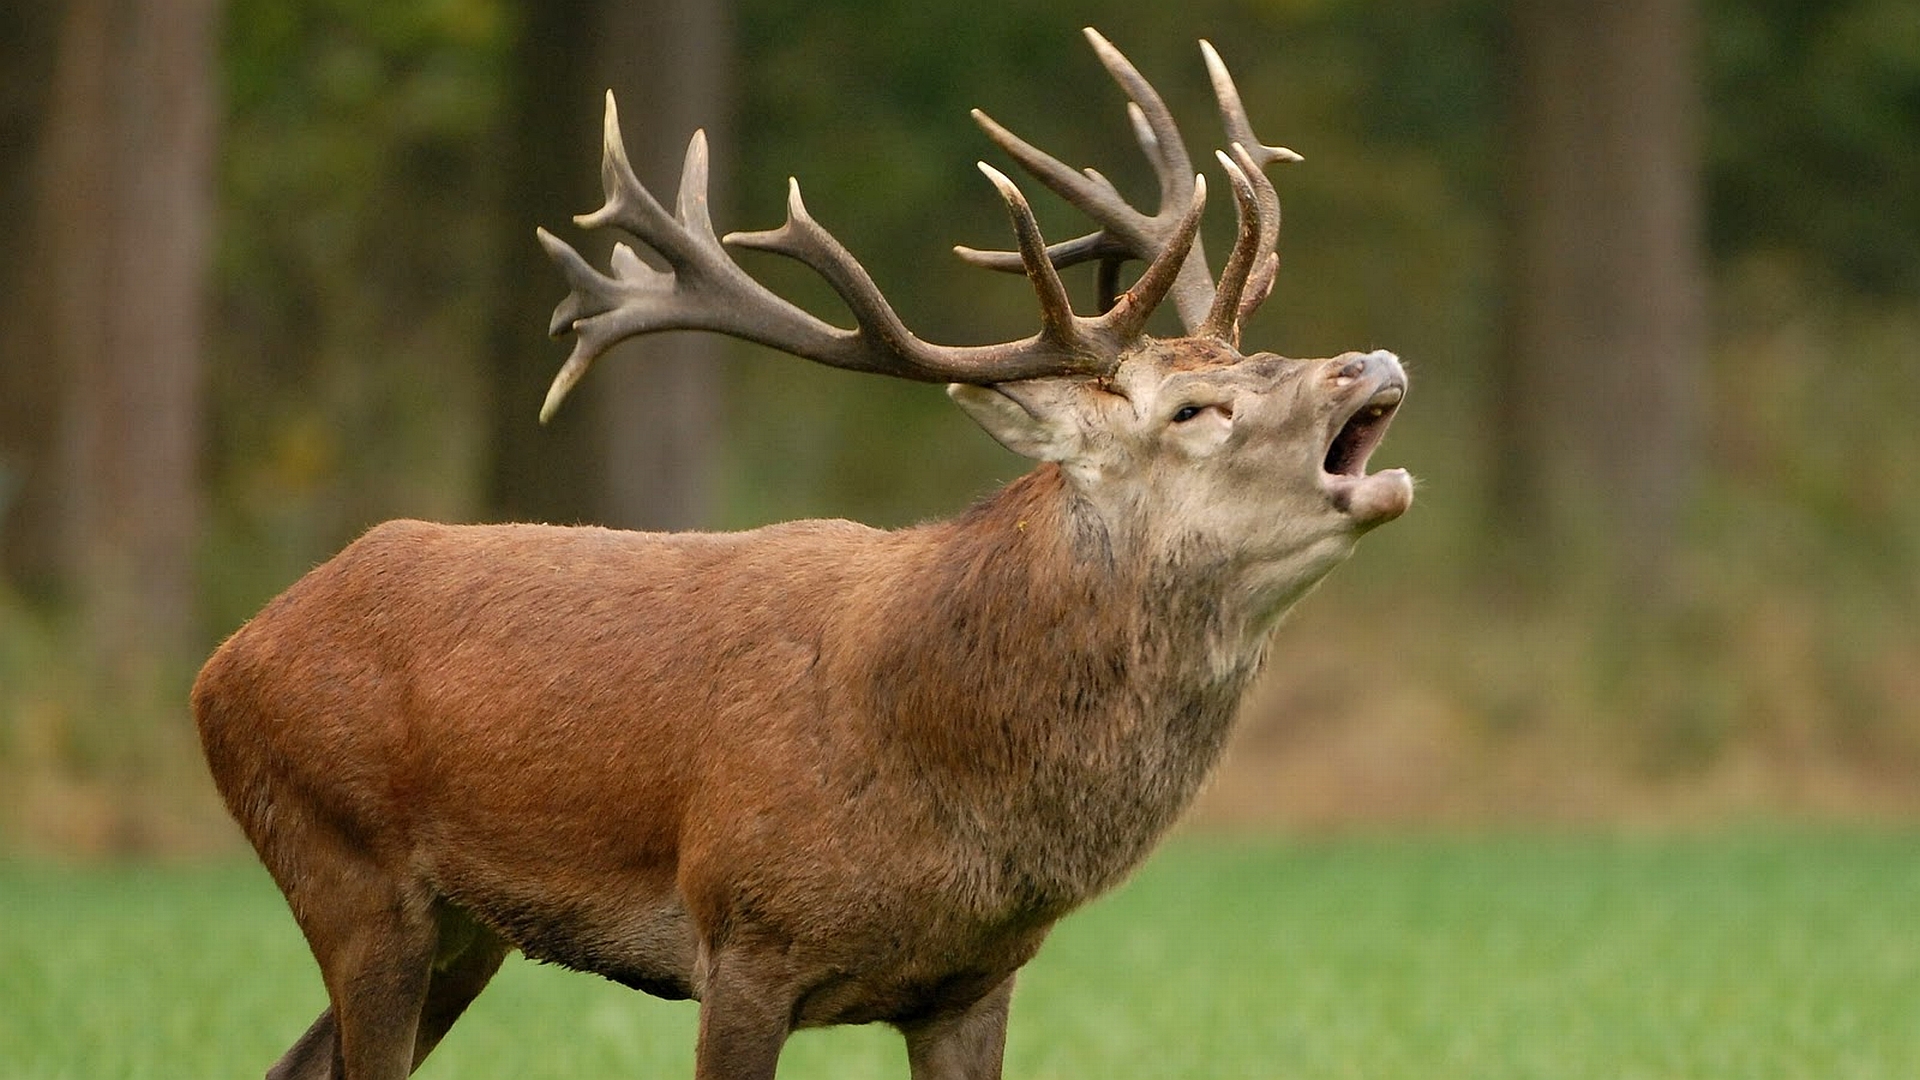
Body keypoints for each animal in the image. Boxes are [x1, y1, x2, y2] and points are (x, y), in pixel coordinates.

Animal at [194, 27, 1413, 1076]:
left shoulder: (975, 981)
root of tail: (225, 661)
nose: (1370, 362)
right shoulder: (743, 932)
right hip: (348, 868)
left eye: (1270, 357)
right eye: (1193, 410)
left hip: (463, 929)